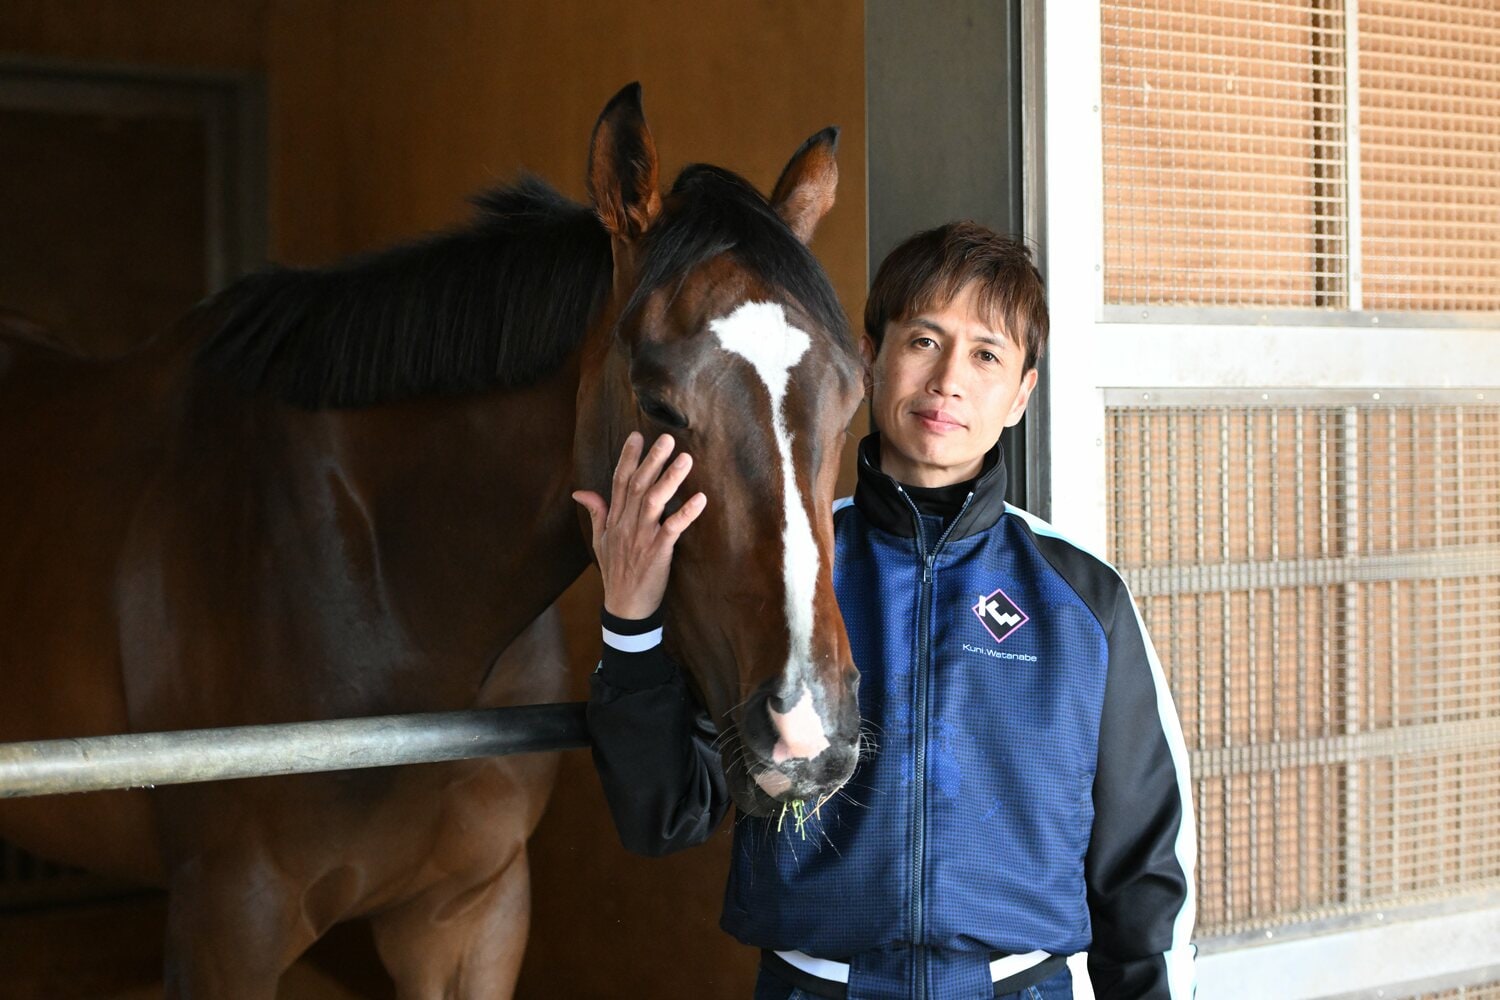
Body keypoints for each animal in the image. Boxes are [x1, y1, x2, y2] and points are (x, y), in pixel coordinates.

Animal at [0, 83, 864, 998]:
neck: (388, 582)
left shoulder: (469, 917)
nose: (809, 733)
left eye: (850, 395)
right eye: (659, 403)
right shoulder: (226, 931)